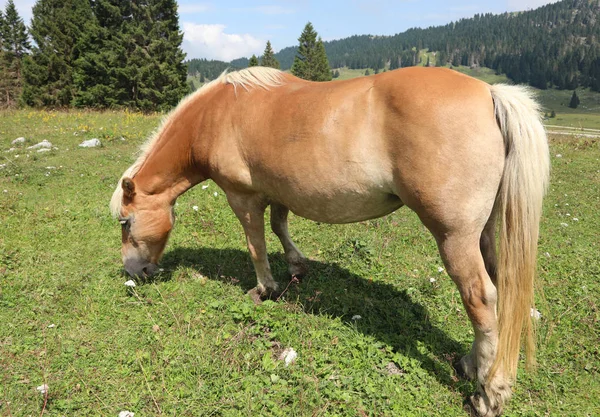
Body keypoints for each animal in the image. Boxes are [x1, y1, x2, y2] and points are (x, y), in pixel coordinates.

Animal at [110, 66, 552, 414]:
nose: (134, 272)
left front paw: (264, 288)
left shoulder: (243, 197)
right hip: (483, 233)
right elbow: (280, 228)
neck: (218, 113)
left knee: (480, 297)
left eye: (126, 223)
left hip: (454, 237)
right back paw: (471, 364)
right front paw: (296, 267)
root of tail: (490, 93)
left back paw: (488, 393)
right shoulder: (278, 192)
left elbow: (256, 243)